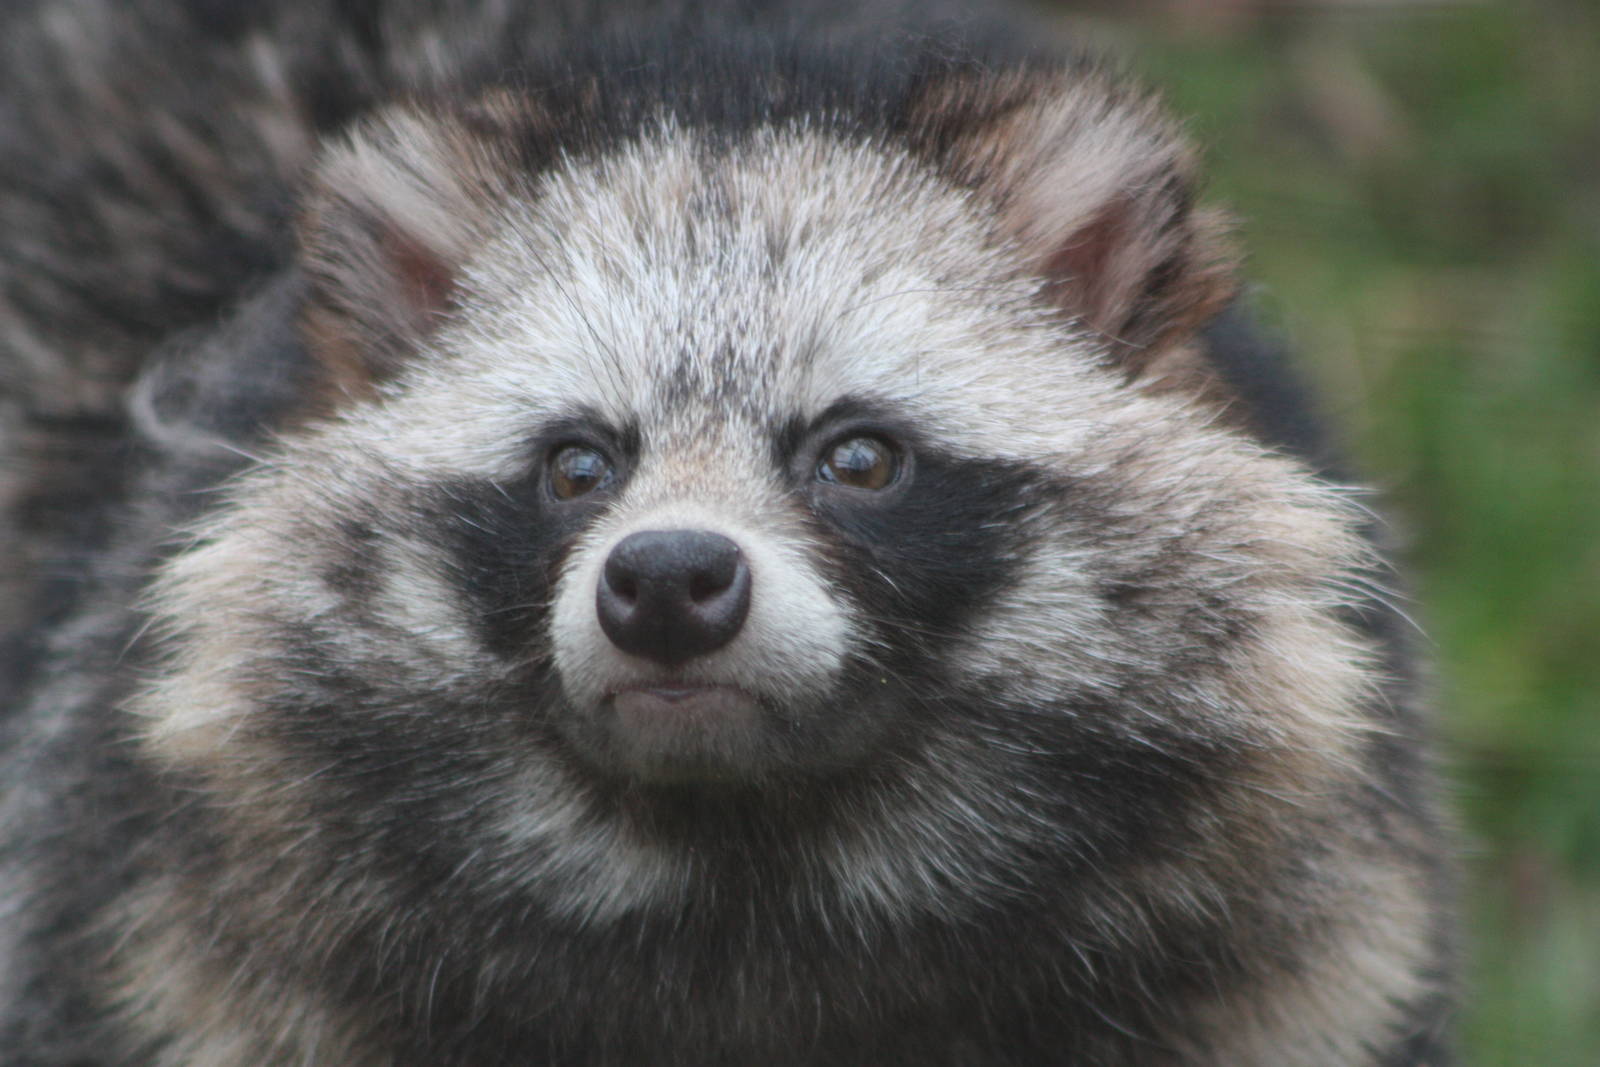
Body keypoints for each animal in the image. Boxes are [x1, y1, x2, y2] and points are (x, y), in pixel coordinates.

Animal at [0, 1, 1455, 1063]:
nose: (666, 579)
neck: (742, 865)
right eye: (577, 463)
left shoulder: (1295, 962)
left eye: (856, 454)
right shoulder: (154, 934)